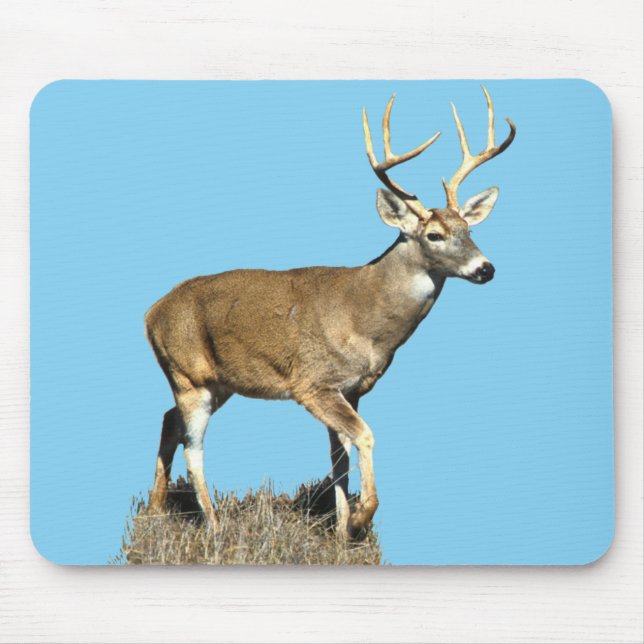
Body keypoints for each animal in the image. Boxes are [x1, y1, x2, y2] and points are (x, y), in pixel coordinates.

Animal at [145, 86, 516, 539]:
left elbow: (339, 458)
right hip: (189, 375)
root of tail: (151, 312)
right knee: (193, 445)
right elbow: (365, 437)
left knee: (168, 421)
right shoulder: (313, 382)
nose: (486, 268)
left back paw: (155, 510)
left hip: (218, 382)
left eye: (469, 230)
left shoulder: (352, 388)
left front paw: (340, 530)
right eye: (434, 235)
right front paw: (360, 517)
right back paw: (214, 526)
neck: (366, 321)